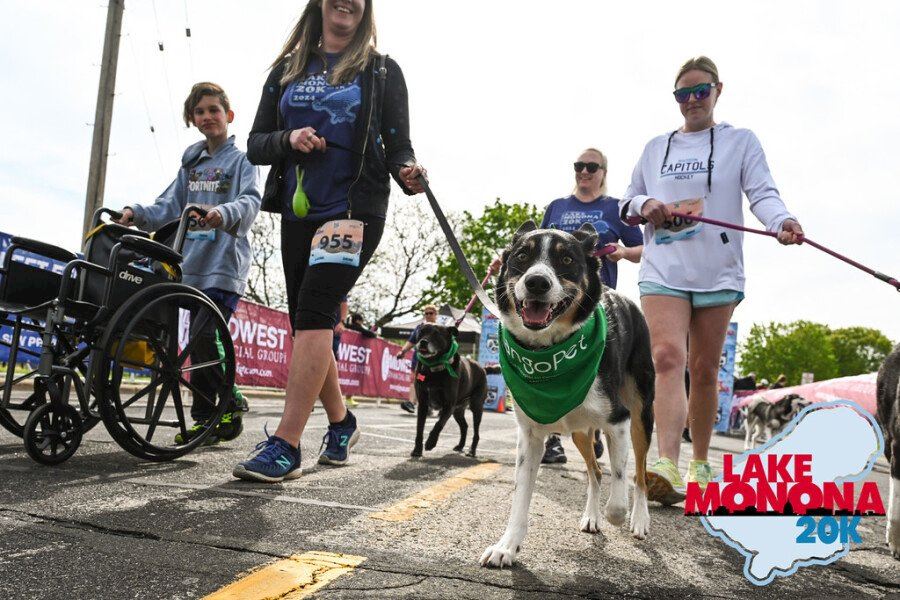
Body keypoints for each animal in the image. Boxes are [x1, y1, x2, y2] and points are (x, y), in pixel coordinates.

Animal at [412, 324, 488, 460]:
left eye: (437, 334)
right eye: (421, 332)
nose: (423, 342)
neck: (433, 369)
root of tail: (482, 368)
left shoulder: (448, 405)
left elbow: (438, 424)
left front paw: (430, 443)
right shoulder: (423, 404)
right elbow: (419, 429)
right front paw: (417, 450)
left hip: (476, 407)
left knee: (476, 432)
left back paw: (472, 451)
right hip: (458, 411)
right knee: (464, 426)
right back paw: (460, 446)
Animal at [482, 223, 656, 568]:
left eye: (566, 260)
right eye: (522, 256)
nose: (537, 282)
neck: (549, 352)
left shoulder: (618, 420)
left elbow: (621, 482)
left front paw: (617, 515)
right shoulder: (530, 436)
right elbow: (520, 498)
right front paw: (507, 546)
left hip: (642, 413)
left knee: (640, 474)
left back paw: (639, 520)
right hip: (579, 432)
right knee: (595, 472)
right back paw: (592, 516)